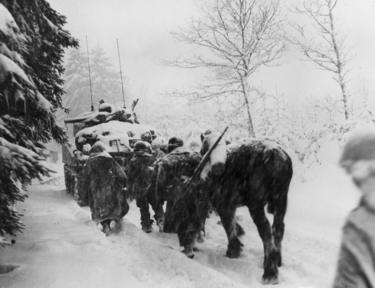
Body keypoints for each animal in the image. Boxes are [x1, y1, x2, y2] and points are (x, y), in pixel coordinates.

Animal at [201, 134, 296, 284]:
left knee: (266, 232)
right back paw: (277, 260)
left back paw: (270, 273)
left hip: (256, 204)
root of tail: (275, 155)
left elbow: (229, 226)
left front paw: (233, 250)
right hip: (281, 200)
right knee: (278, 229)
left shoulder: (223, 204)